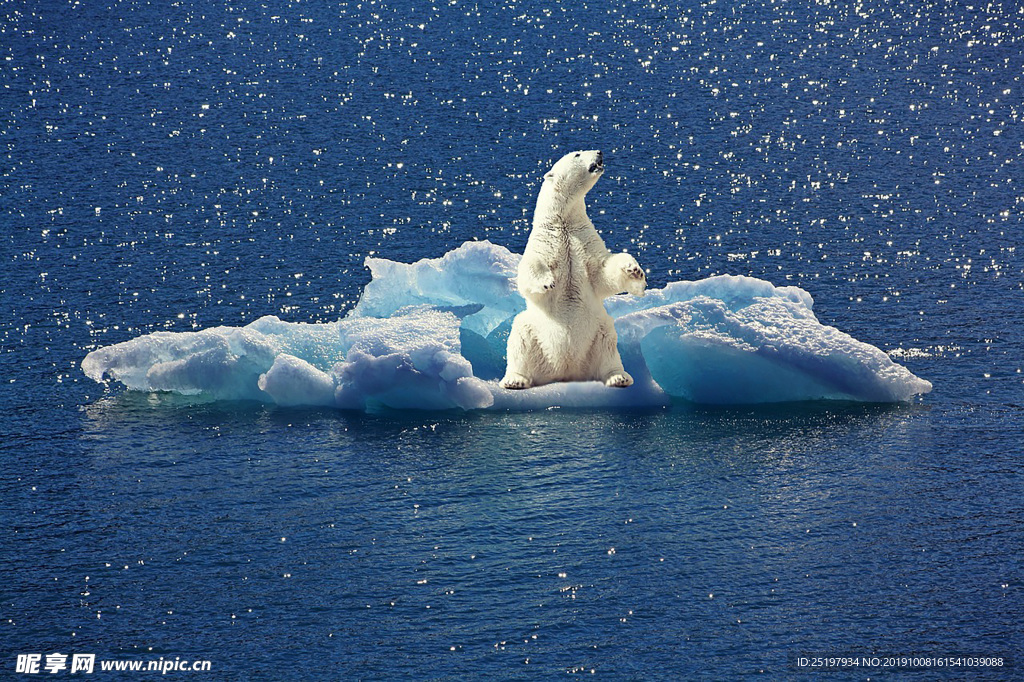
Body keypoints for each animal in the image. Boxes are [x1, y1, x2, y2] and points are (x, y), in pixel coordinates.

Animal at [497, 151, 647, 391]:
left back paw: (619, 377)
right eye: (577, 154)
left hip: (598, 331)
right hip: (533, 331)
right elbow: (530, 268)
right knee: (519, 338)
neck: (563, 222)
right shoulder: (545, 241)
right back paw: (515, 380)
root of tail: (566, 370)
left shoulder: (584, 240)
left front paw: (634, 271)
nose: (599, 152)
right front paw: (547, 281)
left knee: (608, 345)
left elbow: (602, 272)